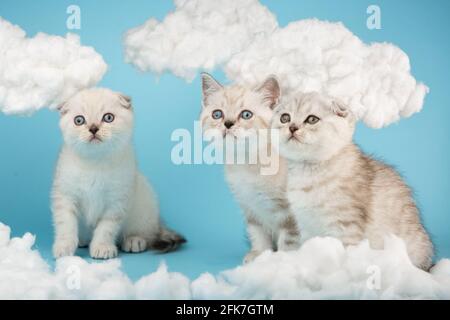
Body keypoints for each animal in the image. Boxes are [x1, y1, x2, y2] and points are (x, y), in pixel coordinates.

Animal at [51, 87, 185, 260]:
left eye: (108, 118)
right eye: (79, 120)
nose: (93, 128)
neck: (95, 163)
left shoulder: (117, 201)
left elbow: (106, 228)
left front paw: (102, 247)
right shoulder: (65, 196)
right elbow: (66, 224)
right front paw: (64, 247)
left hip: (145, 206)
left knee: (148, 234)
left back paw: (134, 240)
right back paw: (82, 240)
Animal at [200, 74, 298, 264]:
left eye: (246, 114)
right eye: (217, 114)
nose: (228, 124)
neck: (247, 163)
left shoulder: (290, 212)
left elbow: (289, 240)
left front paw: (283, 260)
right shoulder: (249, 206)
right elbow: (257, 233)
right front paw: (260, 255)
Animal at [272, 92, 434, 270]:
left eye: (312, 119)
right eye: (285, 118)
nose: (292, 127)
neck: (308, 173)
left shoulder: (345, 226)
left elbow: (343, 255)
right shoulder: (306, 225)